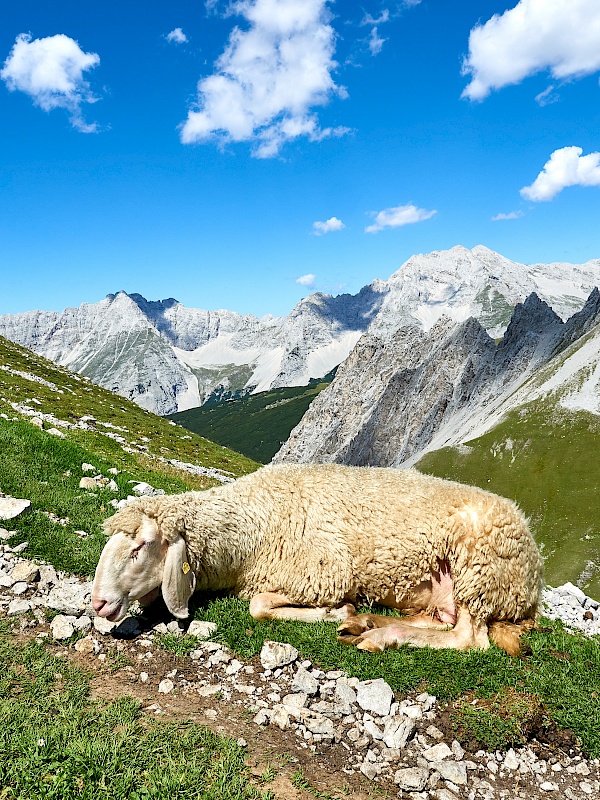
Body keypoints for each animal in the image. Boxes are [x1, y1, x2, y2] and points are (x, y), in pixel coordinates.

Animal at [90, 462, 544, 656]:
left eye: (139, 547)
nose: (97, 603)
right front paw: (345, 615)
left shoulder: (322, 572)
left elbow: (258, 607)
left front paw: (334, 612)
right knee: (440, 622)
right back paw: (368, 623)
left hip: (480, 572)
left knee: (468, 640)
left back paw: (376, 635)